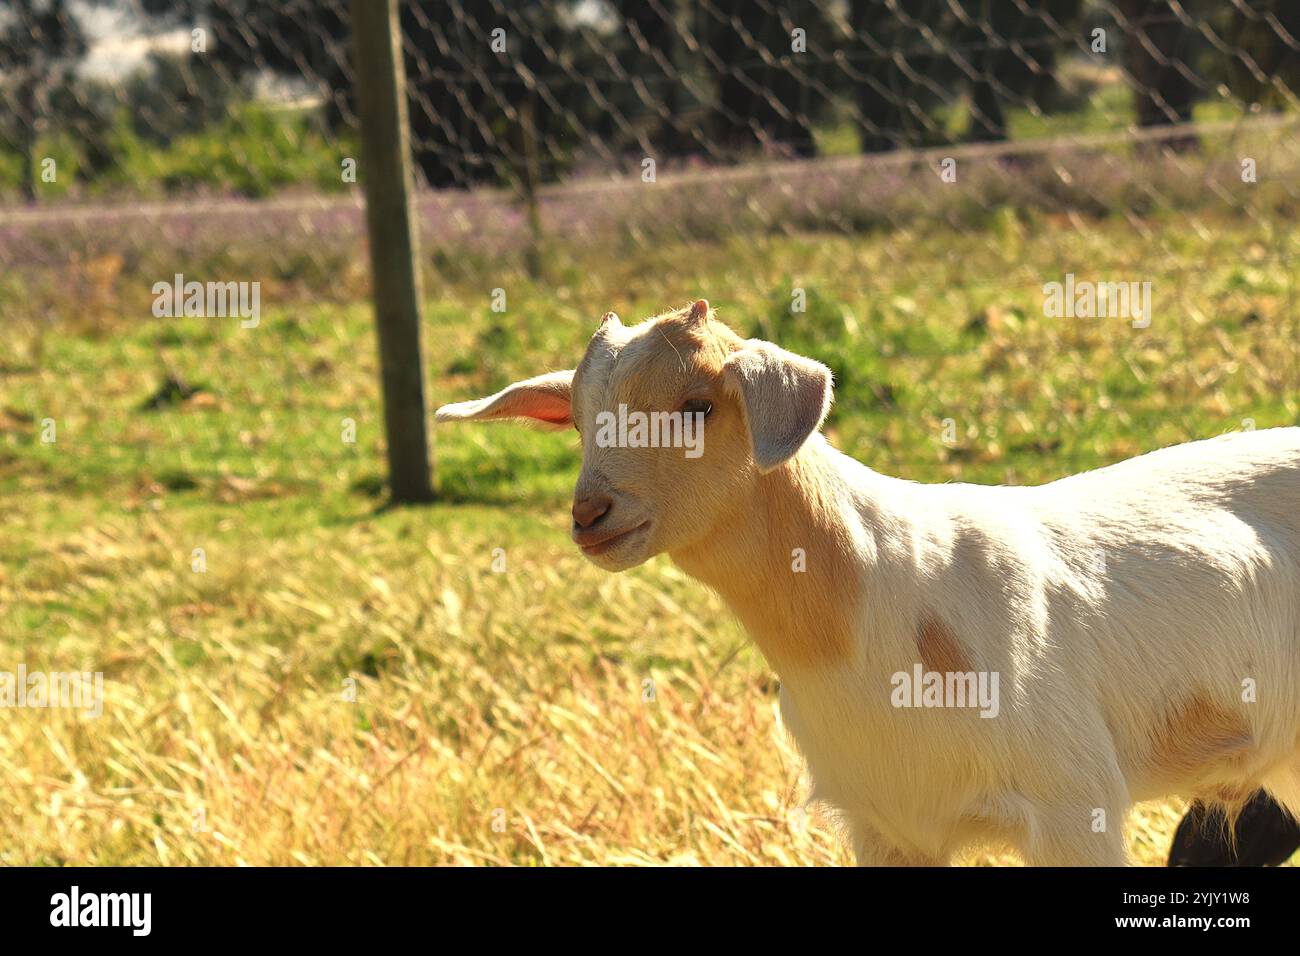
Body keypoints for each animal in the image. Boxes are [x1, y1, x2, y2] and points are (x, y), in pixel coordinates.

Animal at [436, 300, 1300, 868]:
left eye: (696, 407)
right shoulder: (888, 824)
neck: (873, 597)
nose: (591, 514)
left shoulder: (1072, 801)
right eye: (580, 420)